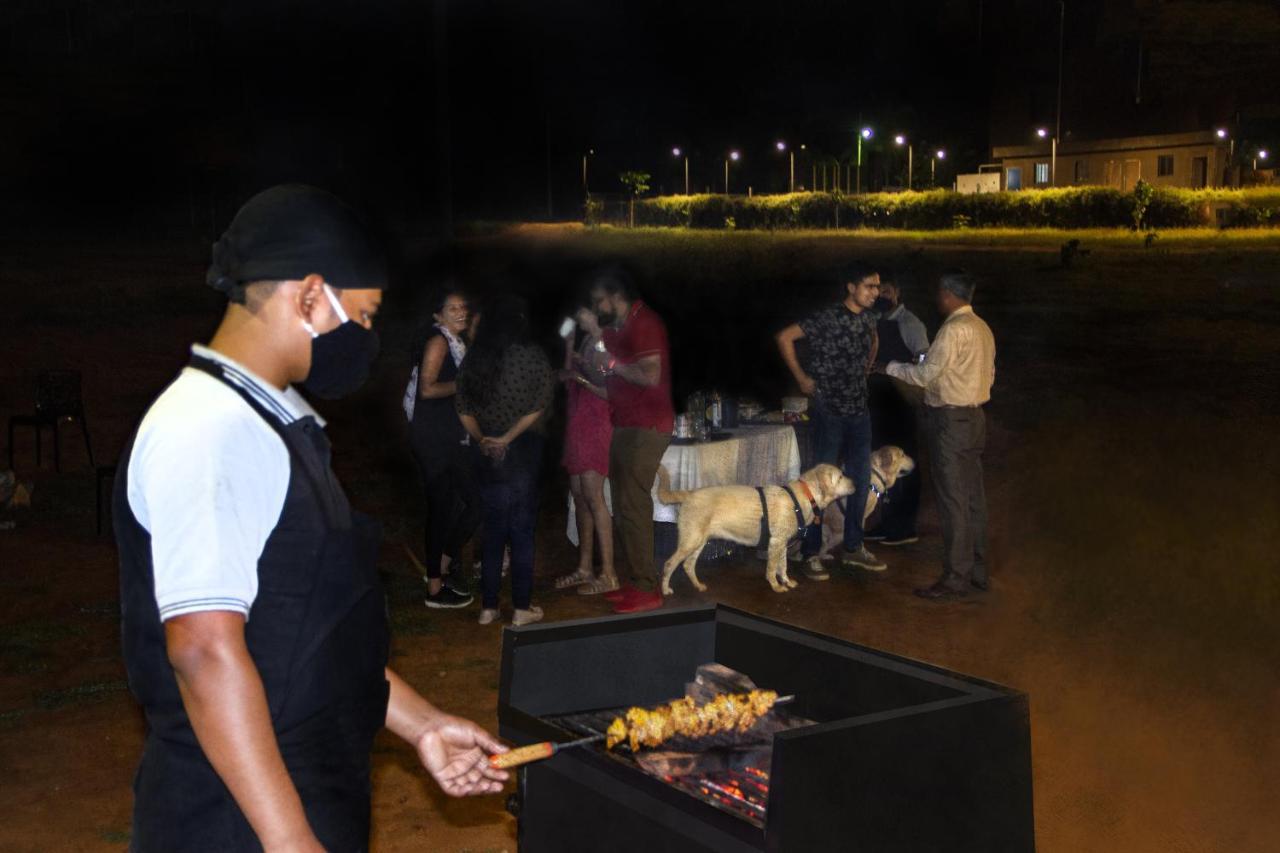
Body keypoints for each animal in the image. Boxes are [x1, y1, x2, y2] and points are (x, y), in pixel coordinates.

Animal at [655, 466, 855, 591]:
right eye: (841, 476)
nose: (856, 484)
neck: (803, 496)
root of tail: (689, 493)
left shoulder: (782, 545)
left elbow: (783, 567)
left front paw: (787, 582)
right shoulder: (775, 543)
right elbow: (771, 569)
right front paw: (776, 586)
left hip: (698, 543)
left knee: (688, 565)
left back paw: (698, 586)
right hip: (690, 542)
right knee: (668, 564)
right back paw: (665, 590)